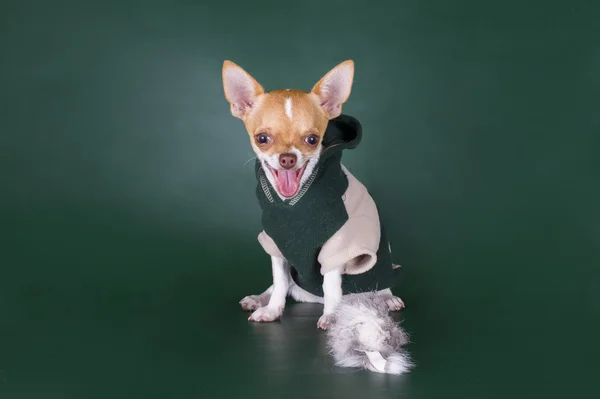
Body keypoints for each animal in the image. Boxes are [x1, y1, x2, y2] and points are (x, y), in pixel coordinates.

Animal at [221, 61, 412, 374]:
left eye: (312, 139)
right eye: (262, 138)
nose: (287, 158)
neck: (293, 204)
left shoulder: (337, 245)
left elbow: (331, 284)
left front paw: (331, 317)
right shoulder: (275, 243)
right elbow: (279, 279)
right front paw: (272, 309)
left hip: (379, 261)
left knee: (381, 279)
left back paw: (387, 297)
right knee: (284, 284)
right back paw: (259, 299)